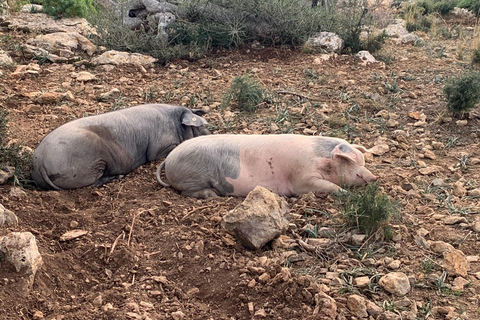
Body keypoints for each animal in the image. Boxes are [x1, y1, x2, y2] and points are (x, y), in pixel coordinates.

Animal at [31, 103, 208, 190]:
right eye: (199, 127)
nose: (208, 132)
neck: (174, 121)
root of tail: (40, 162)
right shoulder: (159, 147)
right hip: (90, 160)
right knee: (93, 183)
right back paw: (119, 177)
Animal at [156, 133, 376, 198]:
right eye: (351, 161)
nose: (375, 178)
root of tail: (169, 158)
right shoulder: (301, 178)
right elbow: (328, 186)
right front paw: (347, 194)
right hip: (193, 177)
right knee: (187, 192)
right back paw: (213, 196)